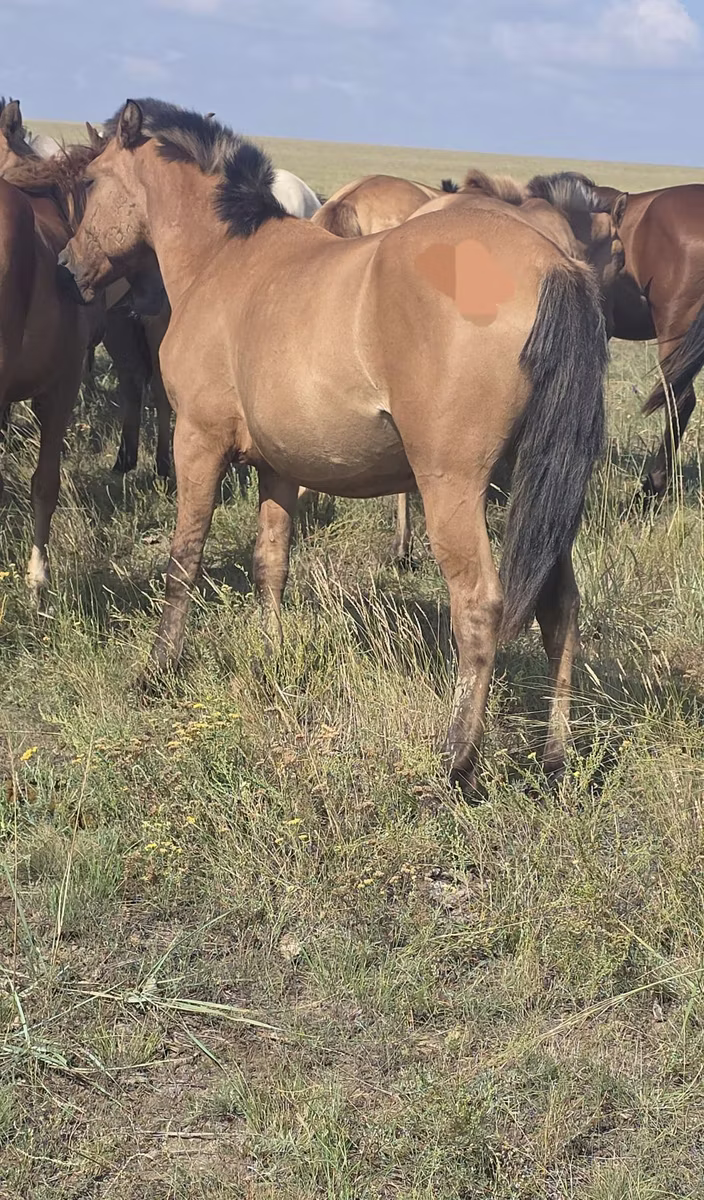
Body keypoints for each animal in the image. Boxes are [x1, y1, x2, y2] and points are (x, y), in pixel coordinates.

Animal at [58, 98, 607, 788]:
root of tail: (555, 265)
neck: (226, 258)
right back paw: (557, 755)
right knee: (560, 609)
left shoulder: (197, 444)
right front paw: (269, 656)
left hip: (453, 488)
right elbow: (270, 563)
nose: (67, 269)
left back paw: (456, 760)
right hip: (536, 488)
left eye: (89, 182)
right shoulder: (278, 467)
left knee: (479, 607)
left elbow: (184, 560)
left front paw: (157, 670)